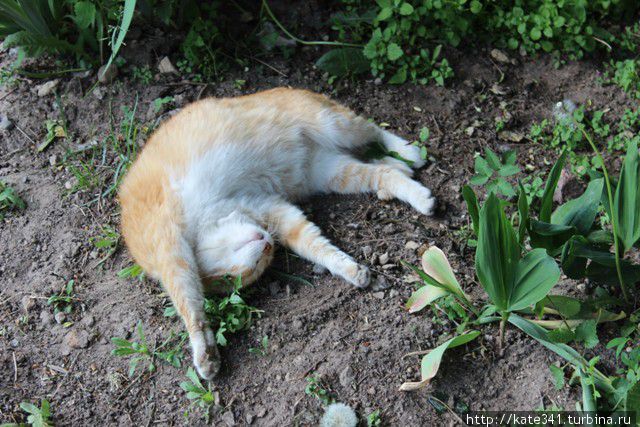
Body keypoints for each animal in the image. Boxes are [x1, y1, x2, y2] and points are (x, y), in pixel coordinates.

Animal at [119, 88, 436, 382]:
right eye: (257, 266)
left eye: (234, 275)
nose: (268, 245)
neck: (209, 219)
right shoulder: (271, 209)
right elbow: (314, 245)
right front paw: (349, 269)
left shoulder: (168, 246)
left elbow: (188, 302)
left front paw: (202, 351)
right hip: (331, 171)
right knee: (382, 172)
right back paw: (415, 188)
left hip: (333, 122)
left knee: (375, 130)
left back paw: (409, 152)